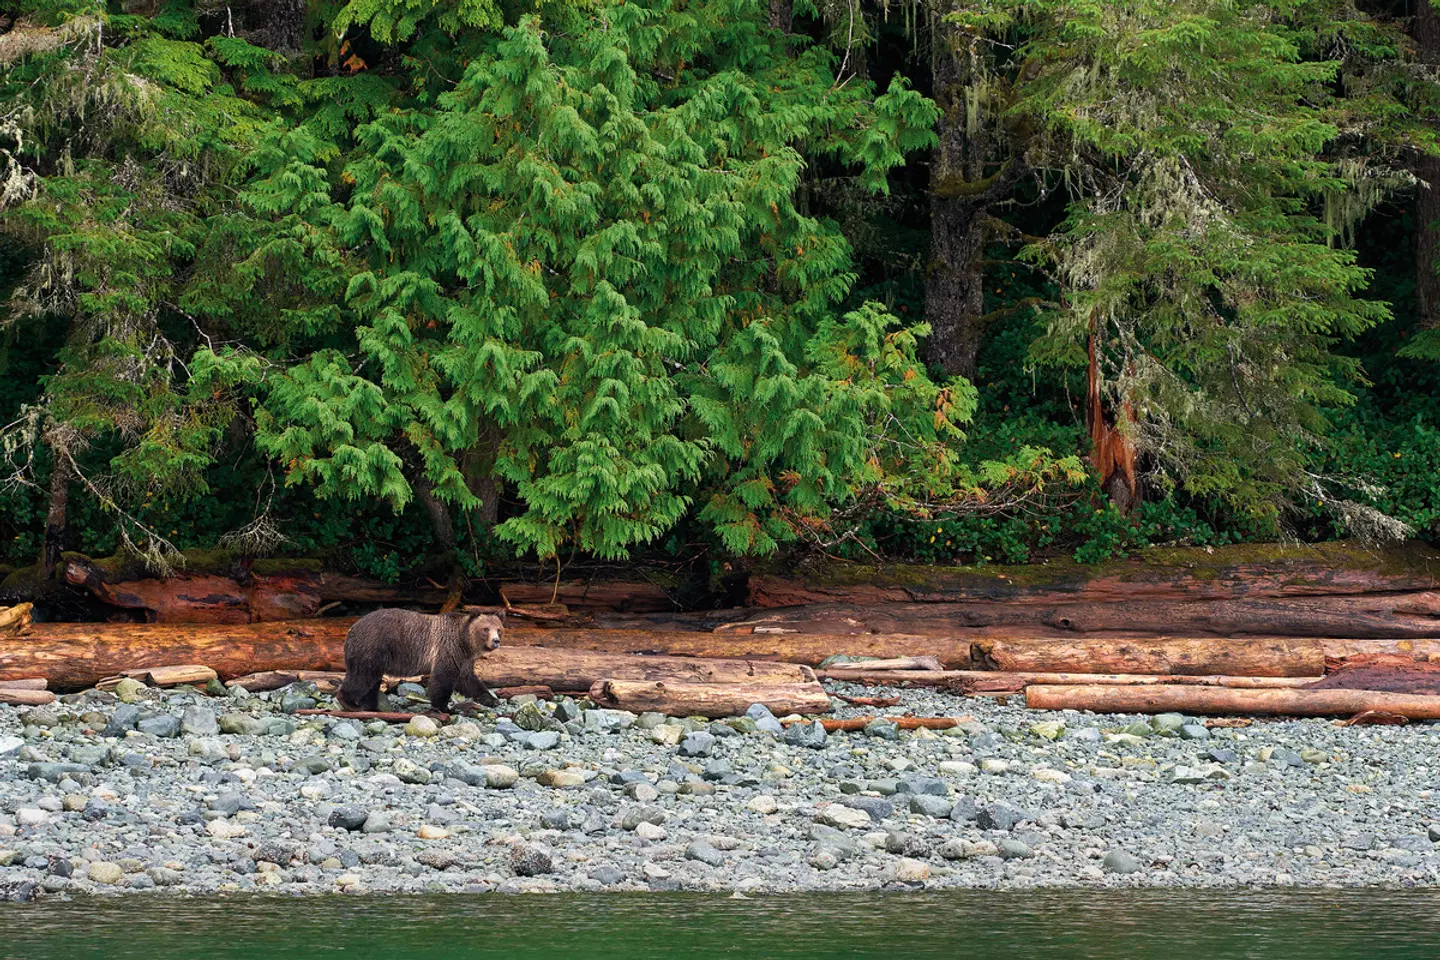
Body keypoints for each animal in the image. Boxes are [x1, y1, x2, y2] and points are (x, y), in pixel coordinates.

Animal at [337, 608, 504, 713]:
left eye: (499, 629)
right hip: (373, 646)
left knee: (372, 681)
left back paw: (371, 706)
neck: (465, 643)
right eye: (485, 629)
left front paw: (492, 700)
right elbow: (442, 679)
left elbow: (468, 680)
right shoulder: (448, 649)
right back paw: (349, 702)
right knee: (362, 676)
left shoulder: (463, 660)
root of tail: (351, 629)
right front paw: (444, 708)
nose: (496, 641)